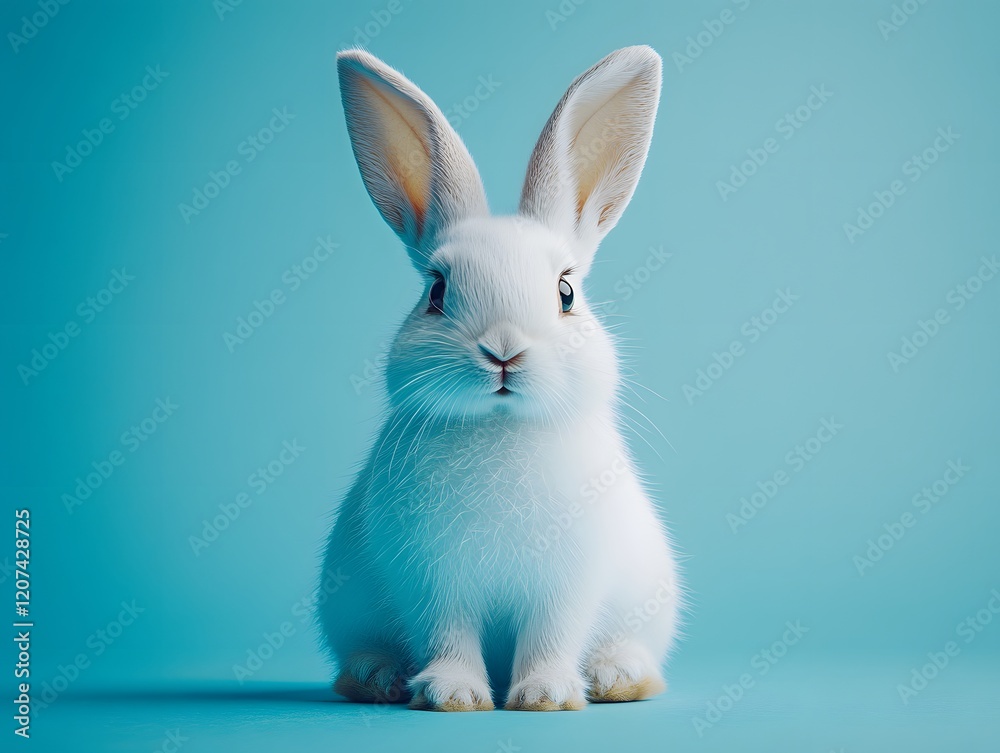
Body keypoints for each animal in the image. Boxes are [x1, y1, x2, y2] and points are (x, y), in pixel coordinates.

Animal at [319, 45, 681, 712]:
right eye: (436, 292)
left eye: (566, 292)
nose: (503, 351)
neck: (502, 428)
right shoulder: (431, 577)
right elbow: (447, 632)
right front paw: (453, 695)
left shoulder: (568, 581)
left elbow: (552, 634)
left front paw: (545, 695)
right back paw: (376, 677)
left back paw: (618, 677)